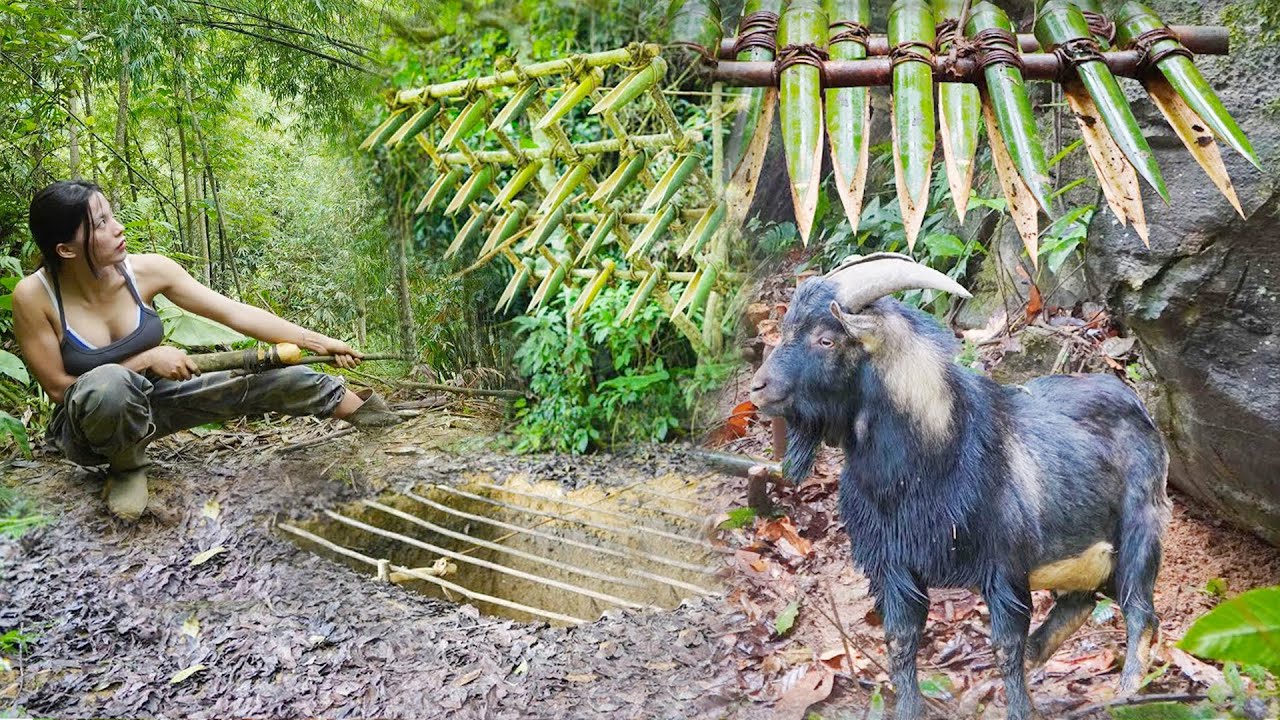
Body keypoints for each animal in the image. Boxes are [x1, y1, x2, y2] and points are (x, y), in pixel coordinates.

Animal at [749, 253, 1169, 720]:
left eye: (826, 339)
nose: (758, 387)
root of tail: (1135, 403)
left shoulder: (1003, 569)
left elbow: (1005, 646)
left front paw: (1019, 711)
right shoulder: (894, 569)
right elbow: (901, 643)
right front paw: (909, 710)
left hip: (1141, 531)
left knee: (1140, 613)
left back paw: (1127, 693)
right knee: (1077, 605)